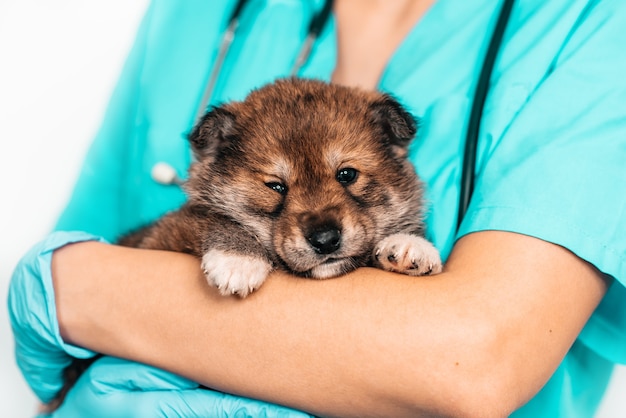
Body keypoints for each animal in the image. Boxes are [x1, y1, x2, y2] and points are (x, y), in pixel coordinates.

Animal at [119, 76, 442, 296]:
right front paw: (239, 259)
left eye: (347, 174)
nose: (325, 240)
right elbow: (207, 218)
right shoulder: (162, 235)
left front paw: (409, 244)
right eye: (276, 186)